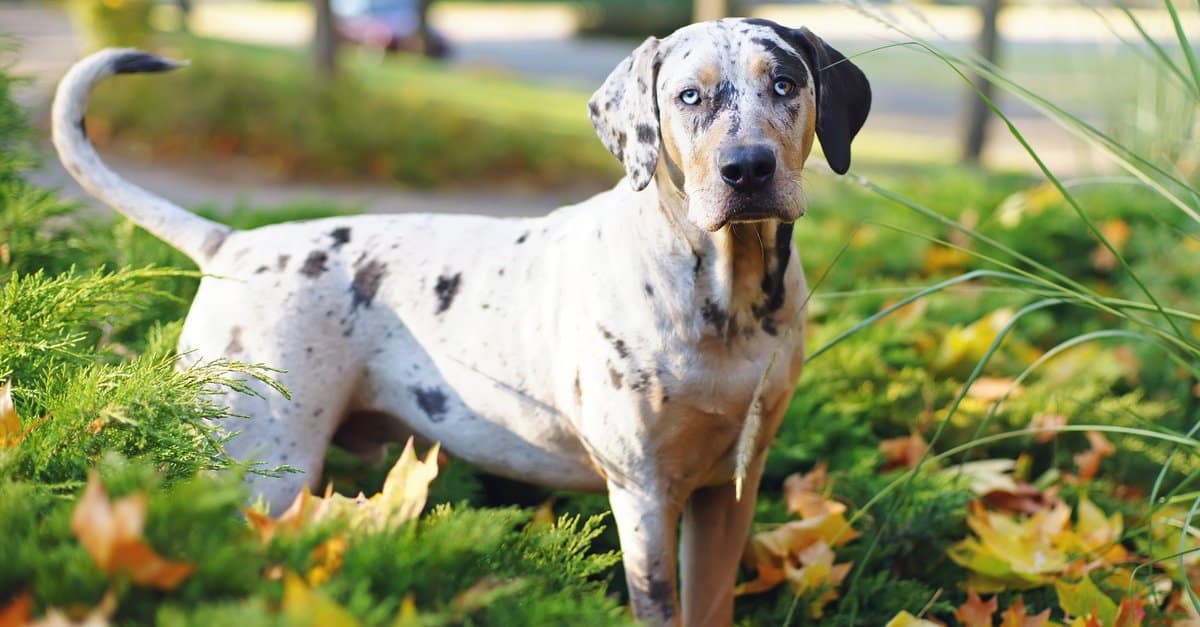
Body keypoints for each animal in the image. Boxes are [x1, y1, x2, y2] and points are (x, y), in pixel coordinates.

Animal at [51, 18, 868, 619]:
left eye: (786, 83)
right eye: (689, 97)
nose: (748, 168)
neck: (729, 298)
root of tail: (232, 243)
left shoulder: (729, 489)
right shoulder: (642, 495)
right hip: (258, 464)